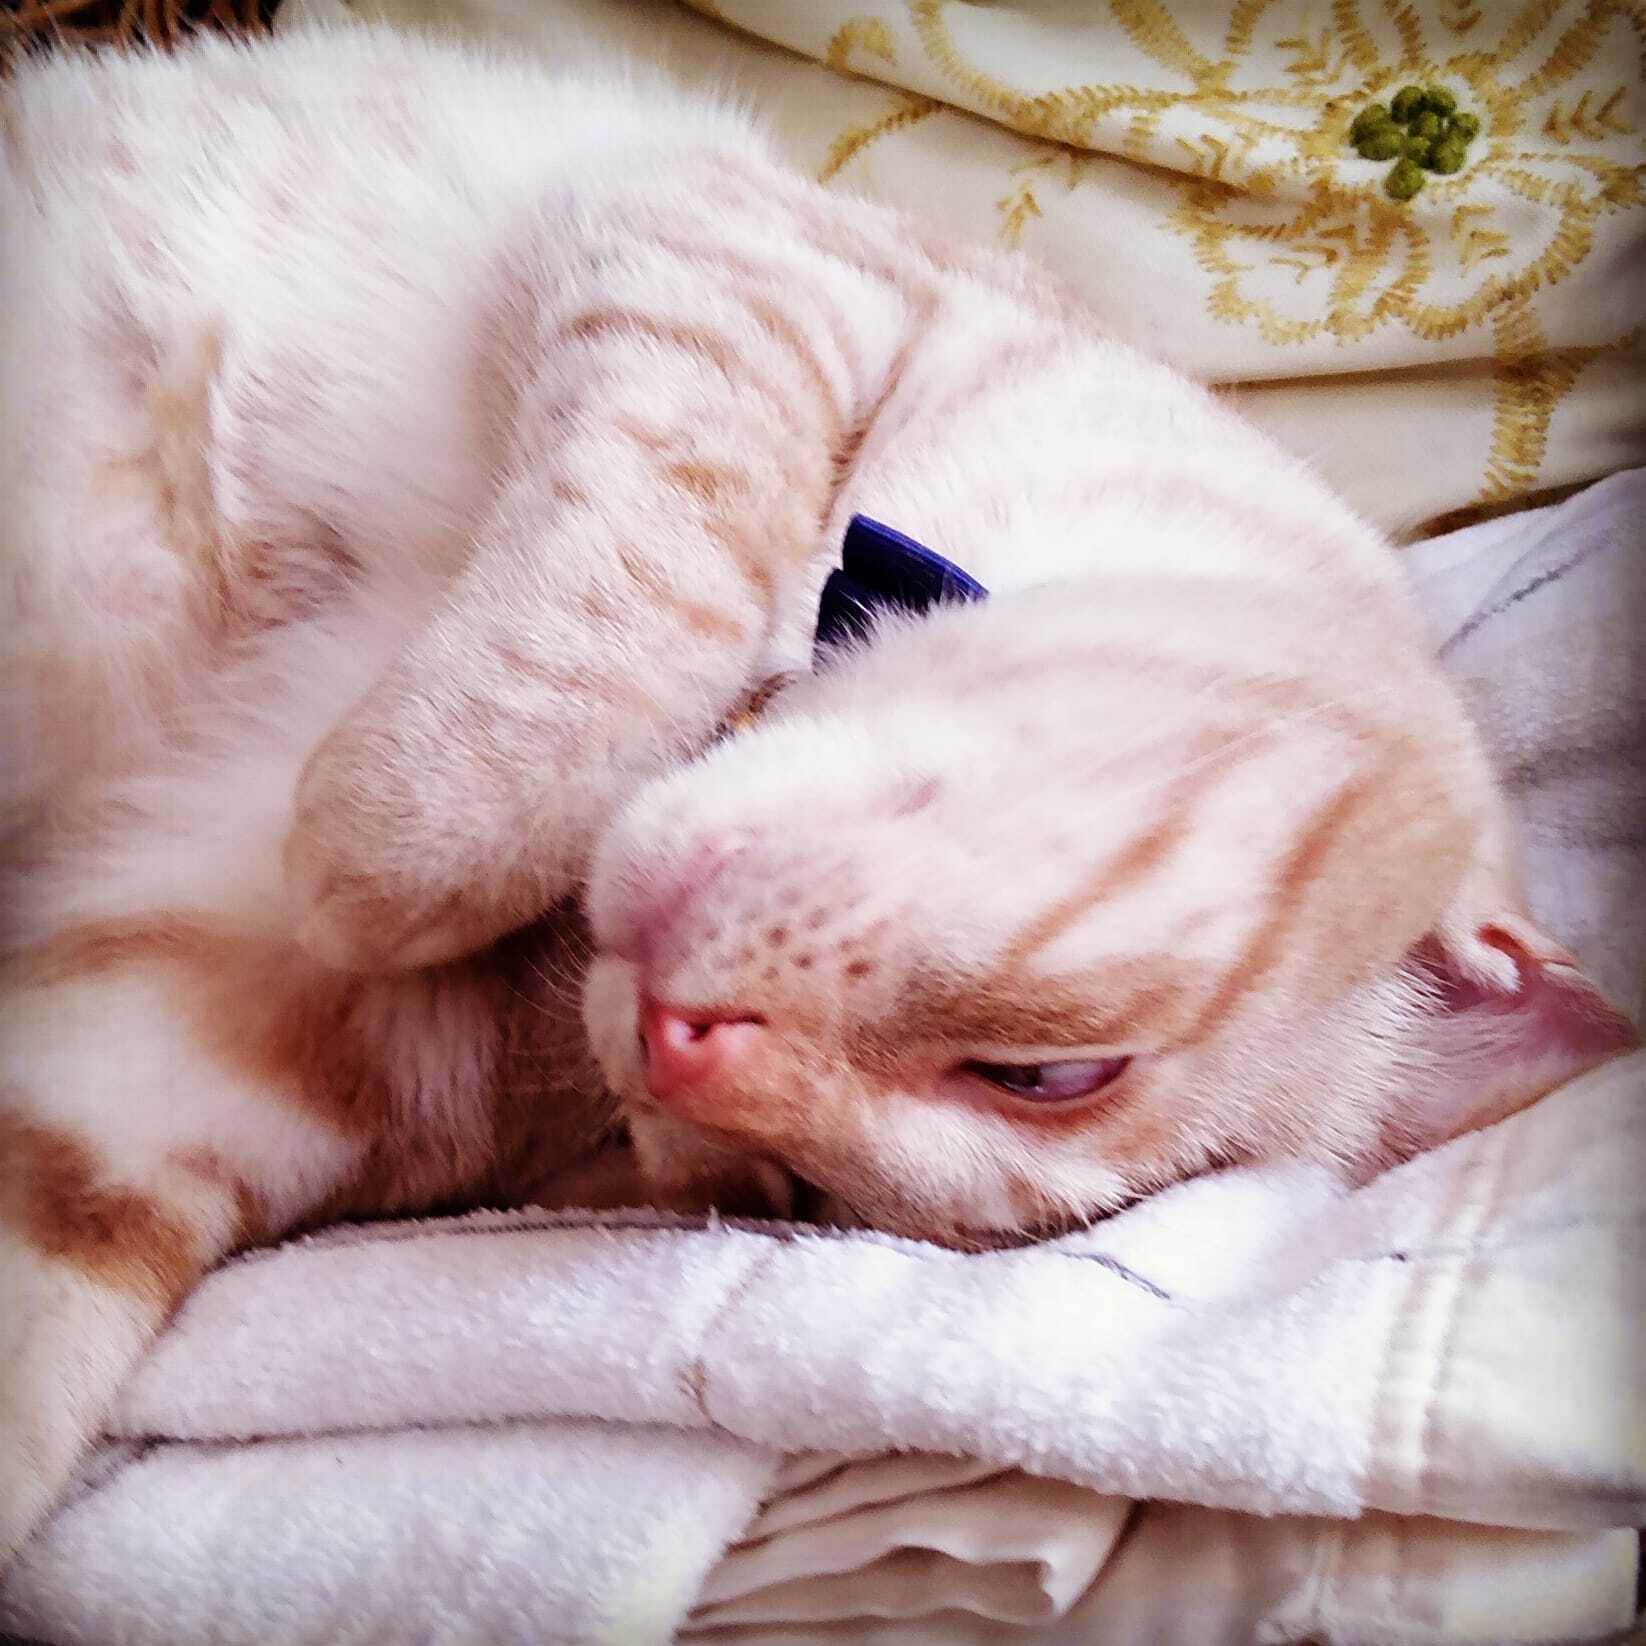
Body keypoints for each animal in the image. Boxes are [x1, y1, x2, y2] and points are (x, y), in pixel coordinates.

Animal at [0, 24, 1635, 1570]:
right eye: (1050, 1075)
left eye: (779, 1193)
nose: (679, 1042)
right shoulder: (737, 262)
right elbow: (644, 596)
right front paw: (382, 843)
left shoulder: (166, 1062)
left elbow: (48, 1298)